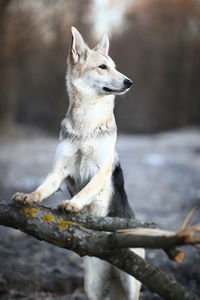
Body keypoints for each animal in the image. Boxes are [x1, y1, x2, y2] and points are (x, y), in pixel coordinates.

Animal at [11, 27, 145, 298]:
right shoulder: (60, 170)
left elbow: (87, 191)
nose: (129, 82)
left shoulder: (100, 172)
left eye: (114, 67)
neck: (87, 125)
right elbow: (42, 188)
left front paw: (72, 205)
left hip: (131, 283)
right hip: (92, 283)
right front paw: (28, 197)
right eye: (103, 67)